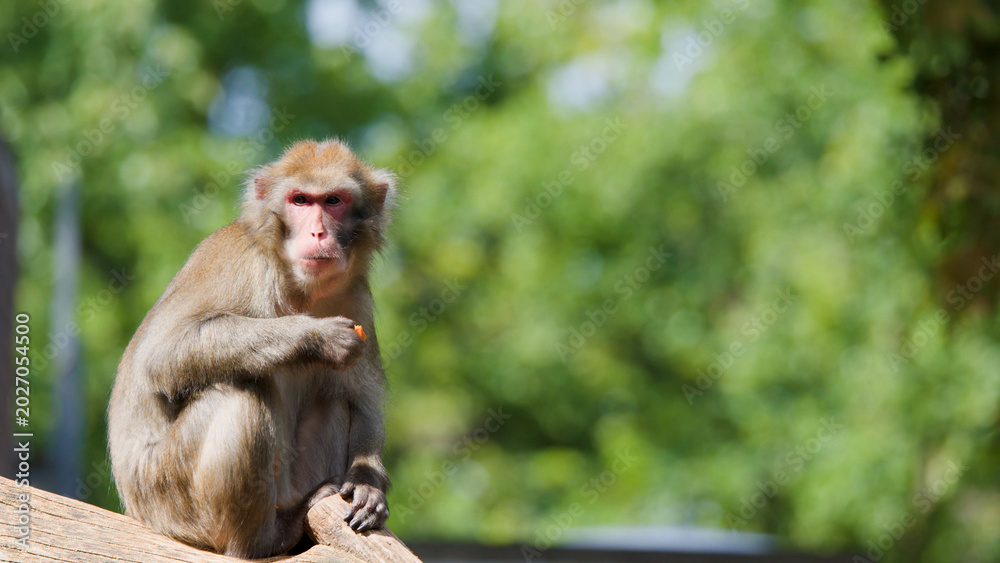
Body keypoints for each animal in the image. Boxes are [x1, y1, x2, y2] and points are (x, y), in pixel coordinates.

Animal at [107, 139, 396, 558]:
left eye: (334, 201)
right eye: (300, 200)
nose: (318, 232)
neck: (301, 289)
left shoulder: (355, 298)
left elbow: (363, 399)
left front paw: (367, 481)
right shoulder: (239, 261)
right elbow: (163, 354)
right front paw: (316, 336)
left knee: (334, 399)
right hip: (166, 493)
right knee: (241, 392)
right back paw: (266, 538)